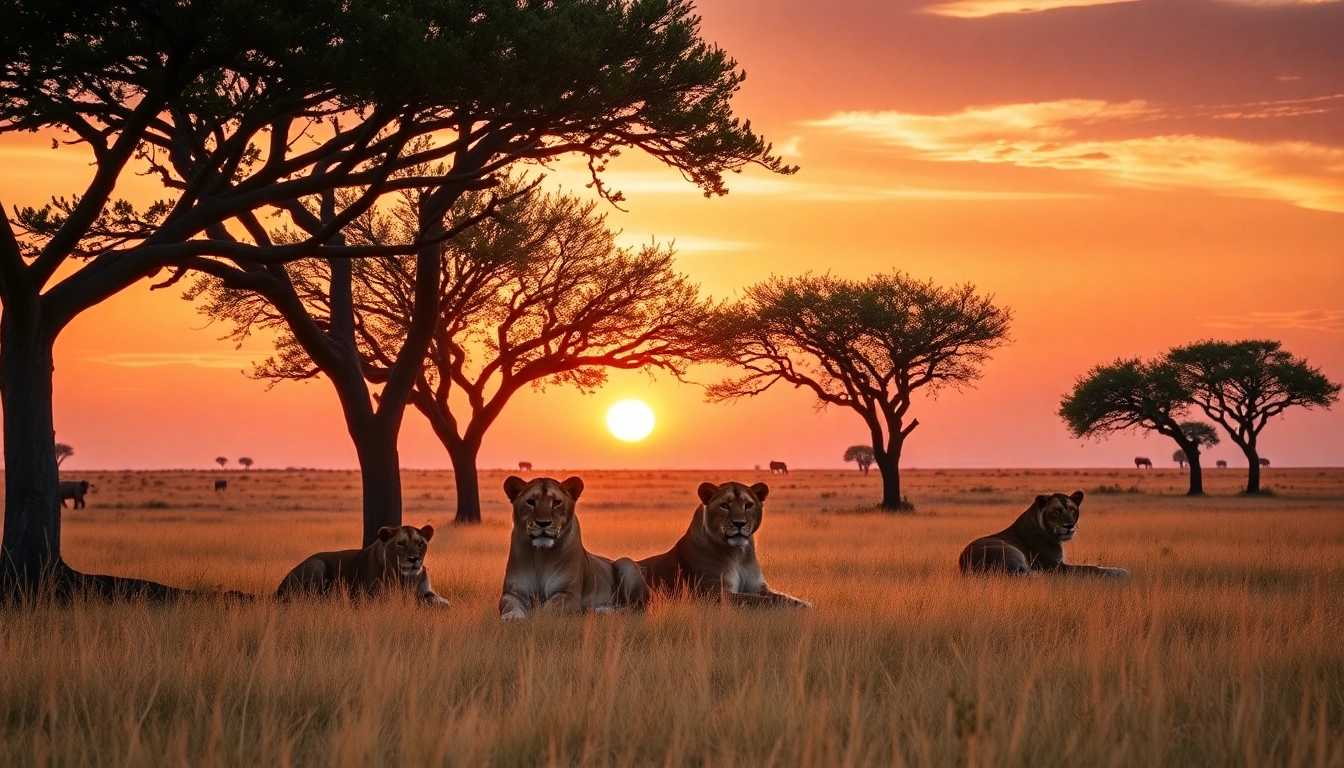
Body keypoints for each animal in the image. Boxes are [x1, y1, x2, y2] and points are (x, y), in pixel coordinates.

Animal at [276, 524, 450, 605]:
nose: (414, 559)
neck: (405, 577)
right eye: (400, 543)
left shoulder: (426, 589)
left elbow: (442, 602)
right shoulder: (373, 596)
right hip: (317, 564)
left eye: (420, 544)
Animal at [498, 476, 647, 620]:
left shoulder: (569, 593)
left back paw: (602, 610)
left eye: (556, 502)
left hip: (626, 563)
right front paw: (512, 617)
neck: (540, 554)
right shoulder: (513, 593)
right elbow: (509, 605)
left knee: (631, 608)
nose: (543, 523)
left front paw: (536, 616)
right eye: (530, 502)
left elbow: (549, 608)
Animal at [637, 481, 811, 608]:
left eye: (748, 505)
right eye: (725, 505)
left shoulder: (758, 586)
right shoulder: (713, 593)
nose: (739, 523)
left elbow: (783, 596)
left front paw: (803, 604)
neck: (739, 555)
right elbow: (755, 600)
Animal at [958, 491, 1129, 577]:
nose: (1069, 526)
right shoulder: (1055, 566)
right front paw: (1121, 572)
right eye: (1057, 511)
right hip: (1010, 551)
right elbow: (1089, 568)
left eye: (1072, 510)